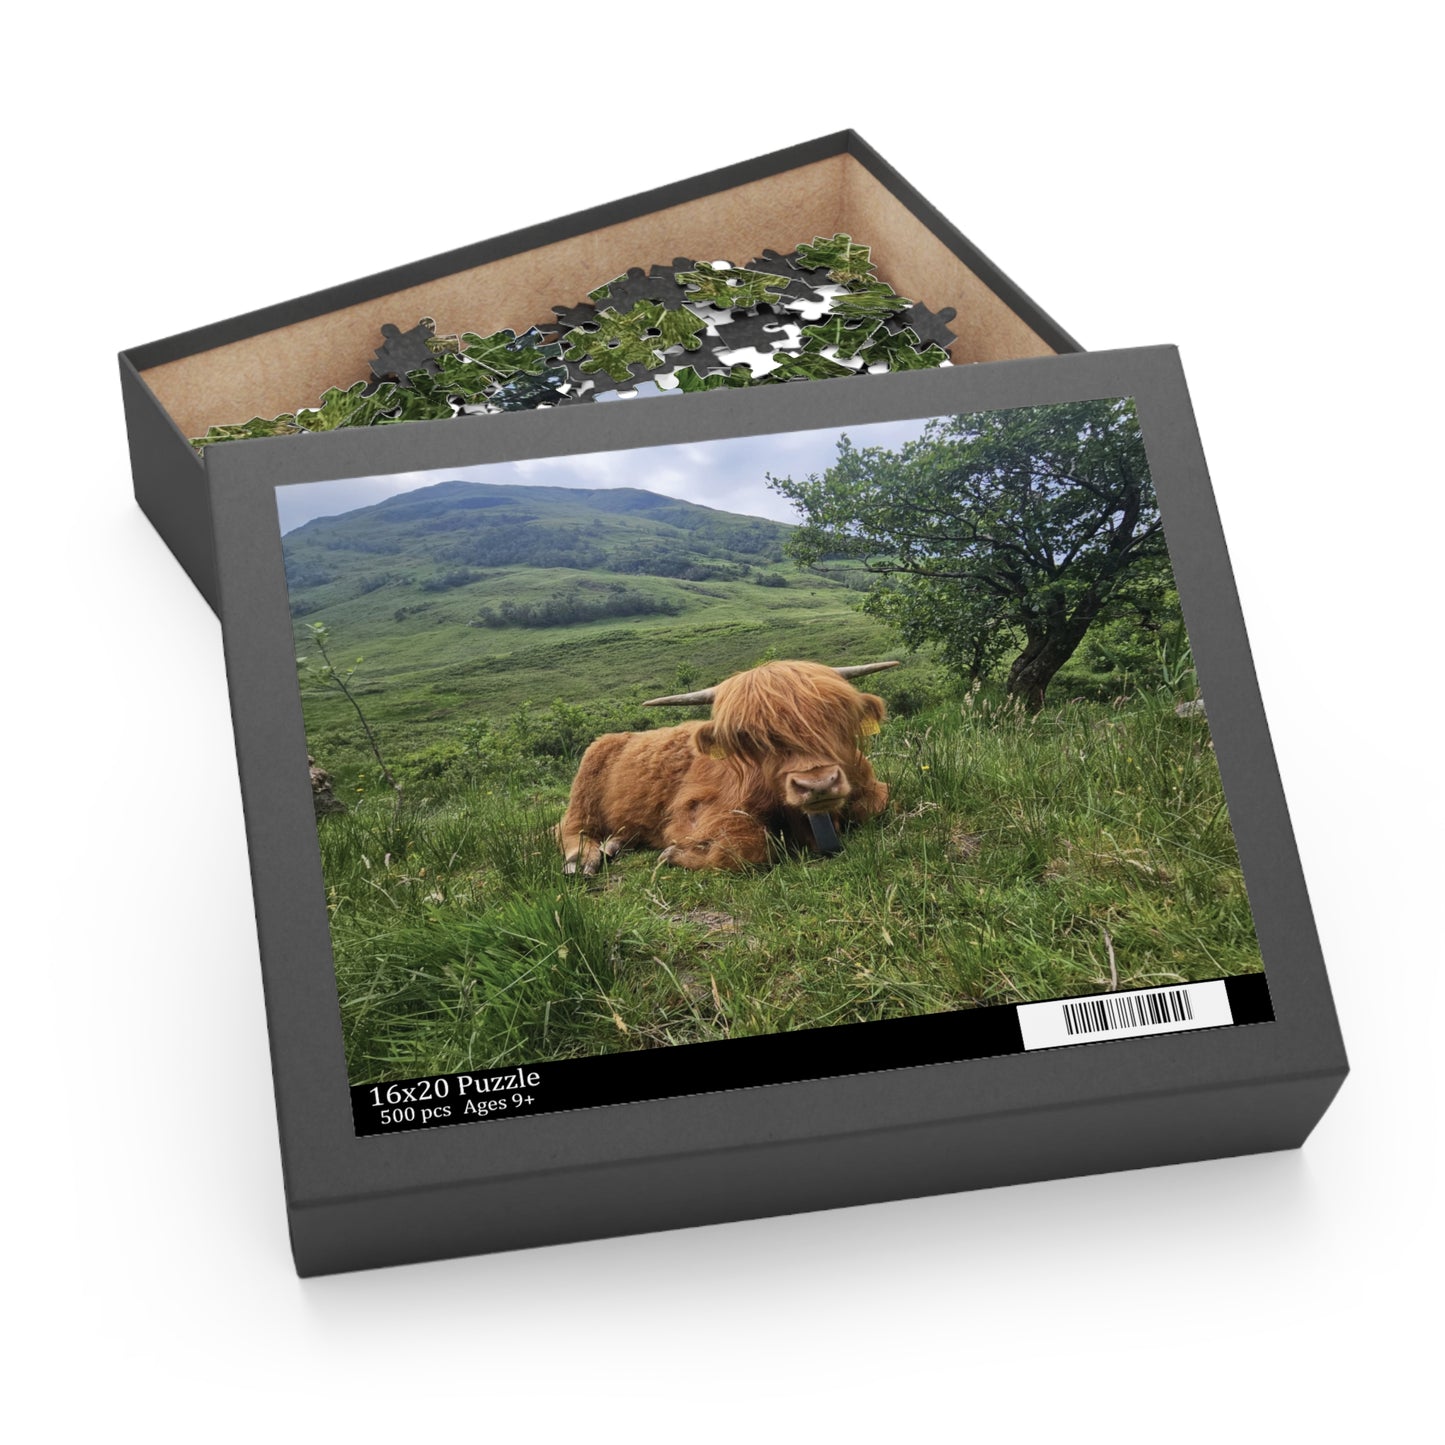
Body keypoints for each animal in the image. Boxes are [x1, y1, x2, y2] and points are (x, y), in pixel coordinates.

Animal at [557, 659, 897, 873]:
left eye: (834, 716)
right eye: (749, 735)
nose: (818, 784)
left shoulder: (869, 787)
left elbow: (875, 804)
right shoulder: (693, 811)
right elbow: (751, 846)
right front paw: (675, 854)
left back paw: (614, 844)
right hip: (584, 791)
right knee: (571, 827)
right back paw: (583, 858)